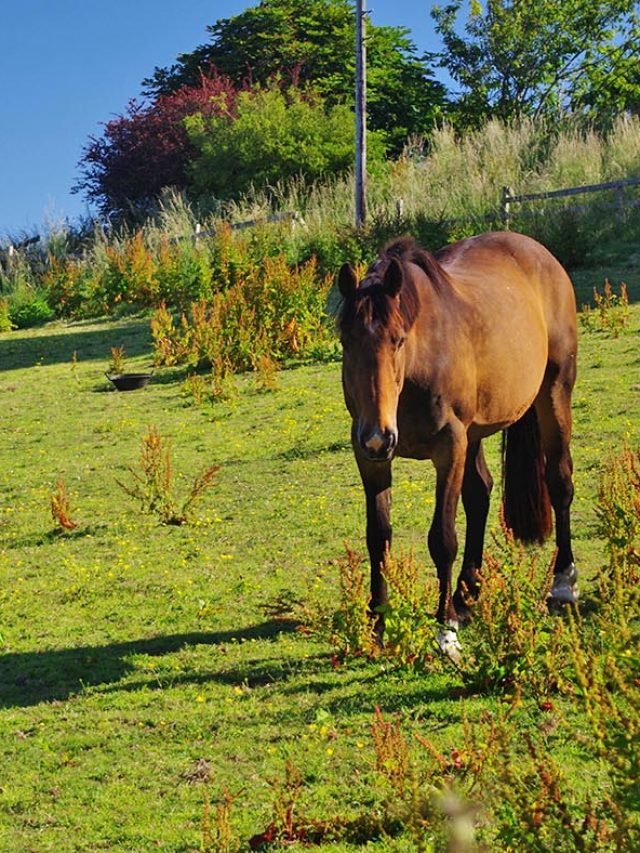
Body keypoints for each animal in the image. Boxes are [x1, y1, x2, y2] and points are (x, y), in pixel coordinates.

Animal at [340, 230, 580, 656]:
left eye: (397, 340)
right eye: (345, 342)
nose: (379, 434)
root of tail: (537, 251)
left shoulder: (449, 448)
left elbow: (442, 539)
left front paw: (445, 631)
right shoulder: (370, 456)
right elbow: (378, 535)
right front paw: (378, 623)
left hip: (554, 393)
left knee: (559, 482)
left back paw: (563, 583)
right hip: (474, 433)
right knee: (481, 493)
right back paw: (468, 592)